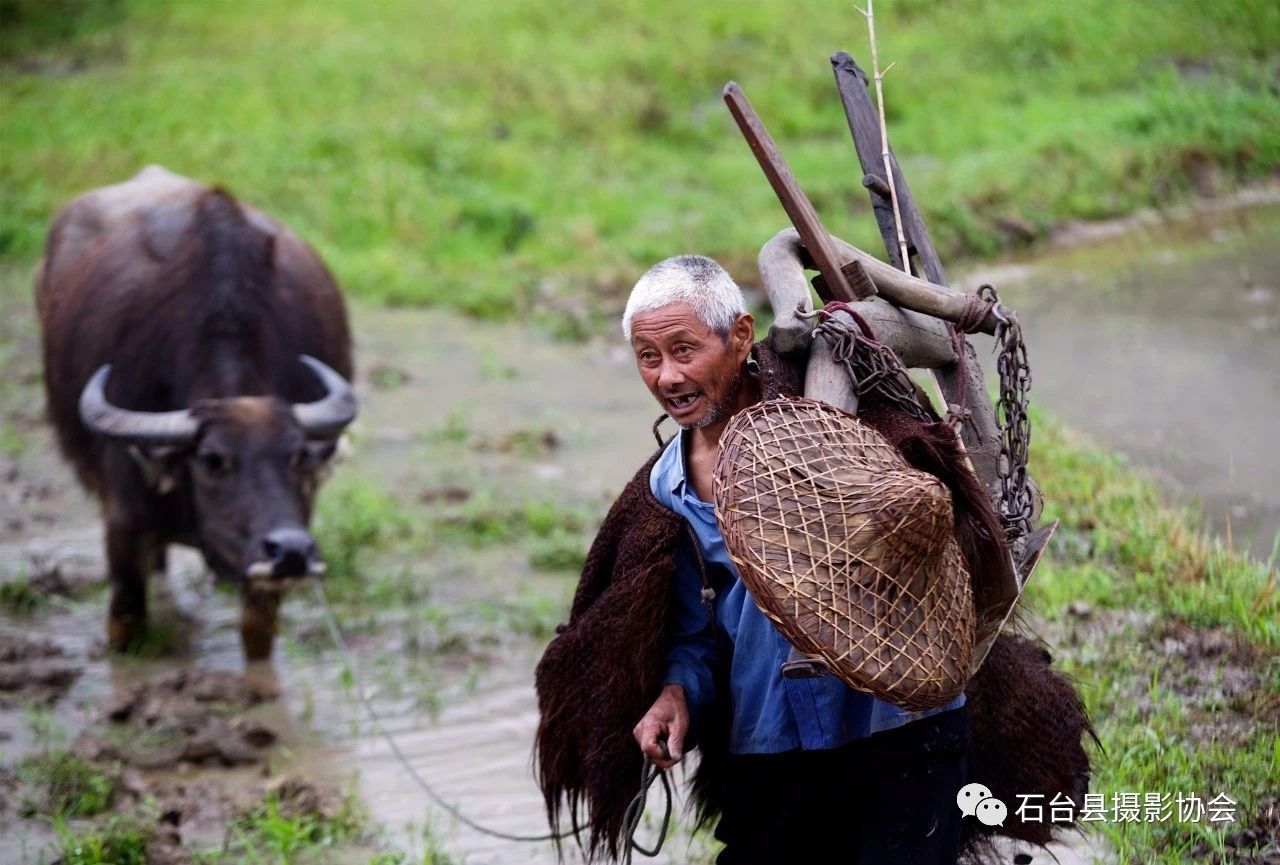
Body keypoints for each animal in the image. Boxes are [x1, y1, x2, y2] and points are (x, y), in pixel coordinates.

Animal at [36, 165, 355, 660]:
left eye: (297, 456)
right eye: (212, 460)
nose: (291, 551)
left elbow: (257, 634)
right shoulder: (122, 526)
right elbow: (126, 628)